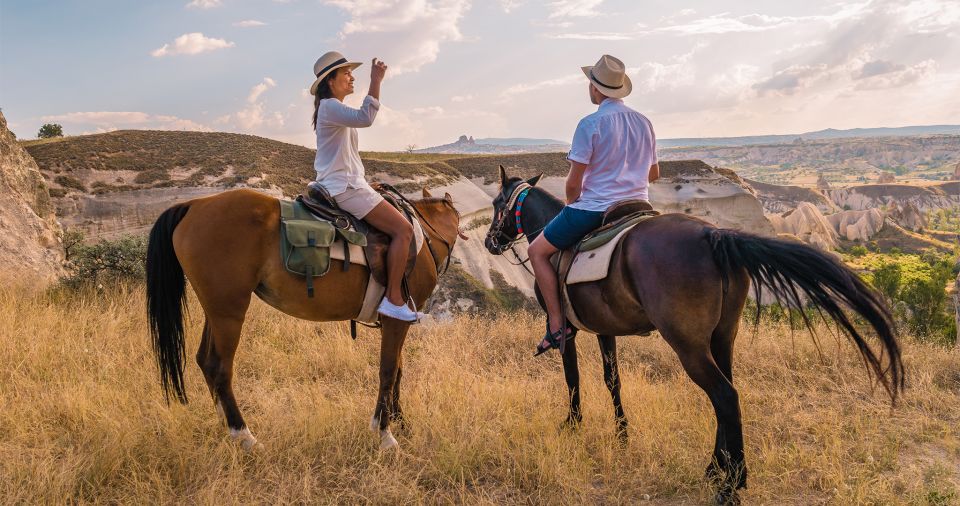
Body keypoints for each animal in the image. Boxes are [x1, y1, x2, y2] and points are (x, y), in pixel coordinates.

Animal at [146, 189, 464, 450]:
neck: (422, 238)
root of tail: (194, 204)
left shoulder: (394, 323)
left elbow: (397, 369)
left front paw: (400, 421)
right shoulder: (396, 319)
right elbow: (387, 370)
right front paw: (385, 433)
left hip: (215, 310)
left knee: (204, 361)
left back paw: (225, 426)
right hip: (229, 313)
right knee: (219, 367)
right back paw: (244, 435)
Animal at [484, 168, 904, 504]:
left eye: (496, 203)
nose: (490, 242)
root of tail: (713, 234)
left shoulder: (565, 329)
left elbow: (572, 379)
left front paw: (573, 425)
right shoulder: (605, 329)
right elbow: (612, 379)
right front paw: (622, 434)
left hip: (688, 345)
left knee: (724, 395)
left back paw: (731, 485)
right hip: (722, 336)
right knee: (728, 393)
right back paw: (716, 469)